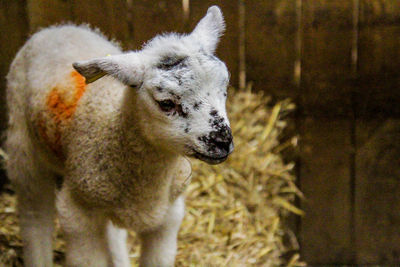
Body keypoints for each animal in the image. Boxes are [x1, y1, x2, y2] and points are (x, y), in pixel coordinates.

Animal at [4, 6, 233, 267]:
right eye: (166, 103)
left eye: (224, 89)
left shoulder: (168, 217)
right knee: (34, 214)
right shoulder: (77, 216)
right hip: (23, 147)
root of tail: (56, 28)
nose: (222, 142)